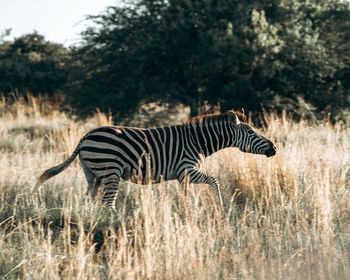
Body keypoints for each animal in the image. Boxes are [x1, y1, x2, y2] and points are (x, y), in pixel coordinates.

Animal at [35, 110, 276, 211]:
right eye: (252, 132)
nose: (274, 148)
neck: (198, 142)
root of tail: (85, 136)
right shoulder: (187, 169)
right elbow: (215, 181)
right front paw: (221, 206)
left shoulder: (184, 176)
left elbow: (187, 194)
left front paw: (188, 210)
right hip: (110, 171)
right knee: (107, 203)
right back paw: (115, 224)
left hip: (93, 174)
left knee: (90, 199)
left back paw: (90, 219)